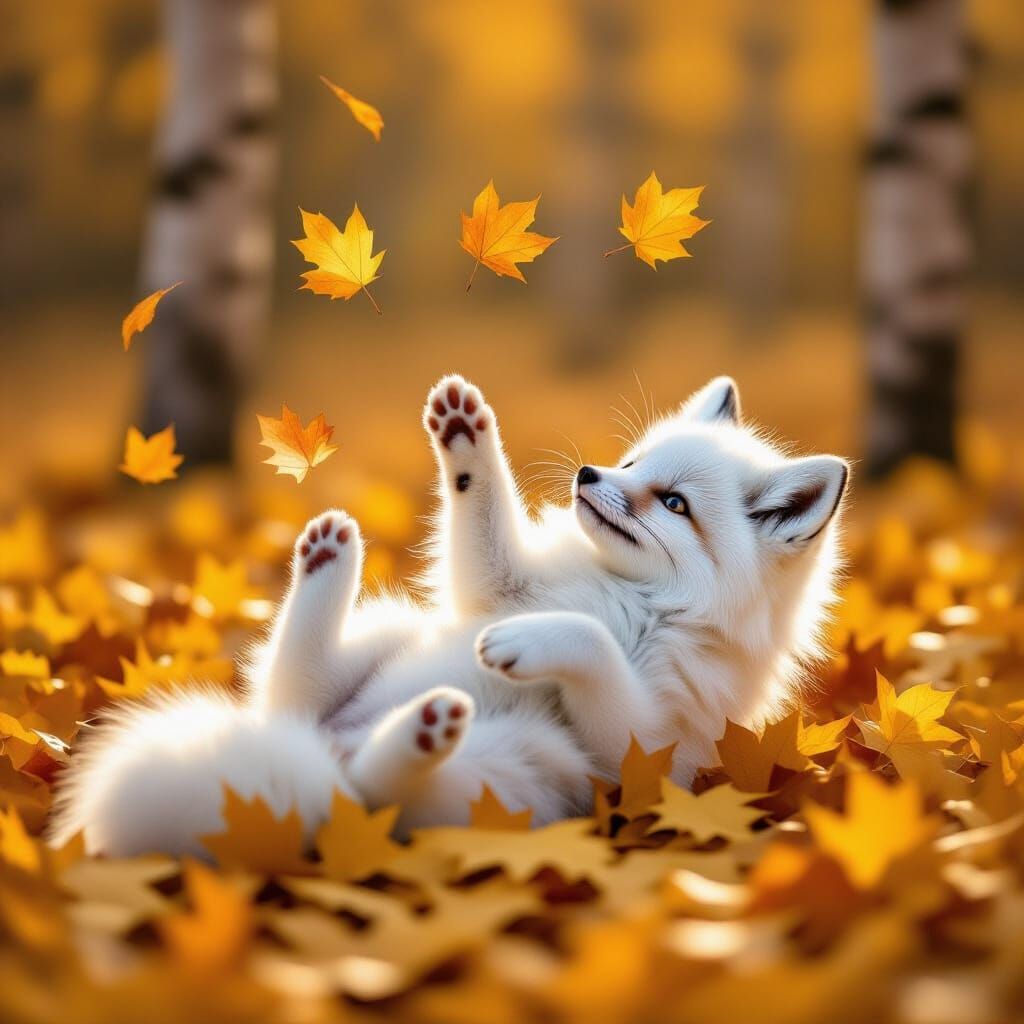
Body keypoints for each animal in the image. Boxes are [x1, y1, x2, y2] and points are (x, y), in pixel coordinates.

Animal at [51, 375, 848, 857]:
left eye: (675, 502)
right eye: (633, 463)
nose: (589, 474)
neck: (632, 597)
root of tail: (314, 748)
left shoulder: (642, 756)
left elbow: (591, 647)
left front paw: (528, 646)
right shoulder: (499, 587)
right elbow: (481, 514)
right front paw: (465, 438)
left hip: (517, 772)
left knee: (367, 791)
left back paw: (420, 731)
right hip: (390, 633)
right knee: (295, 692)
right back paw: (328, 564)